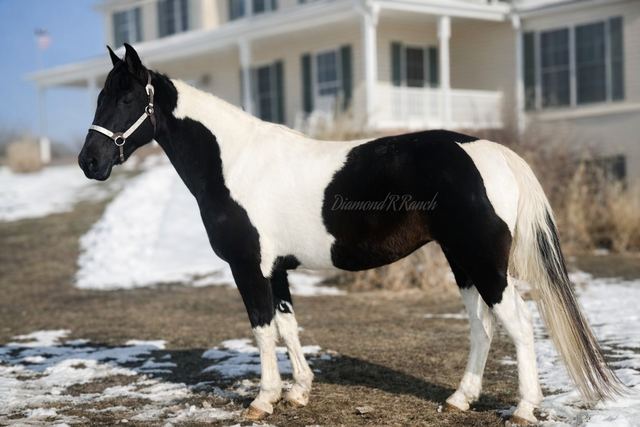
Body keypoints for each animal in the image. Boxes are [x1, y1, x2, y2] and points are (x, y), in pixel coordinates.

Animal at [78, 44, 624, 424]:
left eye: (127, 97)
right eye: (101, 97)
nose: (90, 162)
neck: (234, 161)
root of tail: (493, 152)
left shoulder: (249, 267)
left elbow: (261, 328)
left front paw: (263, 400)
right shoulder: (276, 269)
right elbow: (288, 325)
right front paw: (299, 391)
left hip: (485, 263)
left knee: (519, 325)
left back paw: (523, 409)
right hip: (462, 261)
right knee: (482, 327)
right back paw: (459, 399)